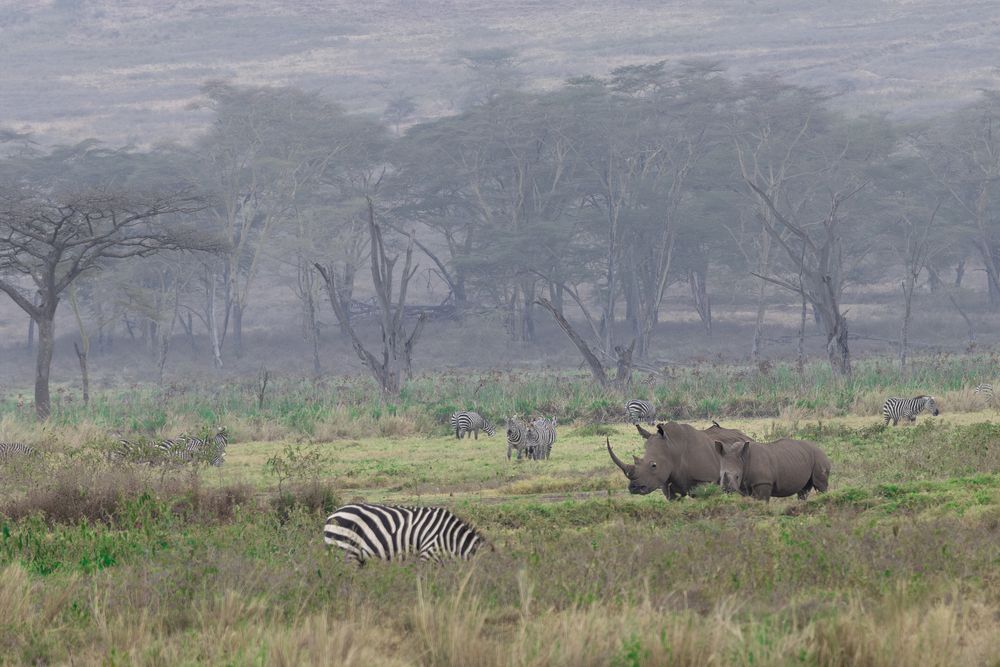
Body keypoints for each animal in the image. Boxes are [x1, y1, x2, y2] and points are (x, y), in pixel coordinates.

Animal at [607, 422, 750, 500]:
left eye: (654, 465)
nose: (635, 488)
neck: (672, 448)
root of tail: (746, 436)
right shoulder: (667, 486)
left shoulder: (706, 480)